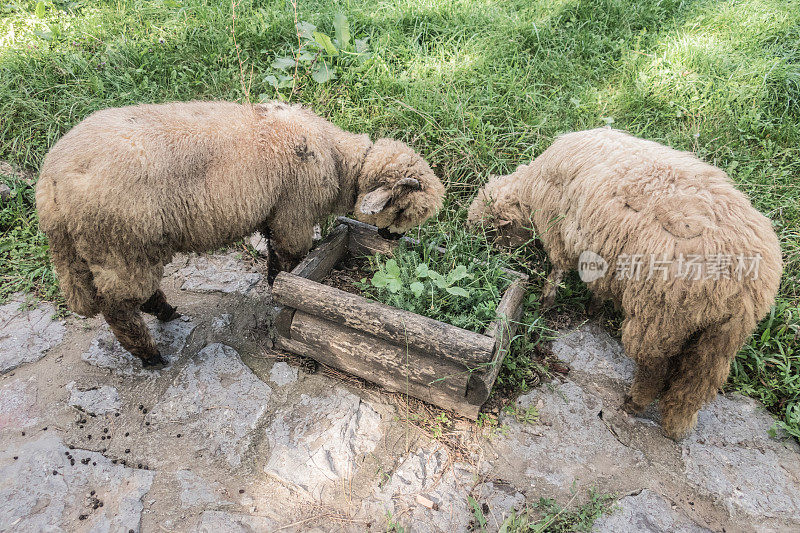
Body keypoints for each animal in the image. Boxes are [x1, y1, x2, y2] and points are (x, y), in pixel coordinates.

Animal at [37, 98, 446, 366]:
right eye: (404, 209)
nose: (394, 240)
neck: (338, 159)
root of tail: (49, 182)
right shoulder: (294, 214)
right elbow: (292, 256)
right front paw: (284, 286)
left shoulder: (274, 214)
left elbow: (274, 255)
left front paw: (274, 282)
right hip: (120, 245)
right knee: (119, 307)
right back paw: (151, 353)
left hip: (111, 248)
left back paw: (166, 314)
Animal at [468, 128, 780, 436]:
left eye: (490, 230)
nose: (482, 252)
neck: (532, 187)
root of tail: (744, 284)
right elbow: (598, 284)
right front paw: (594, 306)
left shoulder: (558, 229)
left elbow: (557, 270)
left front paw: (547, 301)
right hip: (719, 338)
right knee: (694, 383)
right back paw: (675, 426)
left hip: (660, 317)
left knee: (654, 368)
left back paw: (635, 403)